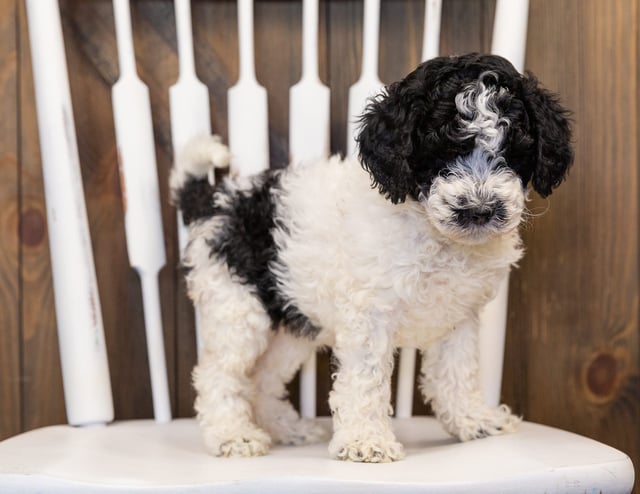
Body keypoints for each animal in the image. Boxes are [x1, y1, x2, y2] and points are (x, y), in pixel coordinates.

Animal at [170, 54, 576, 464]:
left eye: (512, 152)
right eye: (440, 153)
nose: (479, 210)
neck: (434, 233)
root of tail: (217, 201)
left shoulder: (458, 315)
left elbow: (457, 371)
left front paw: (473, 421)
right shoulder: (370, 314)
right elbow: (366, 378)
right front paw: (366, 441)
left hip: (292, 321)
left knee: (263, 378)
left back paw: (287, 429)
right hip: (238, 307)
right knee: (221, 374)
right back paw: (232, 434)